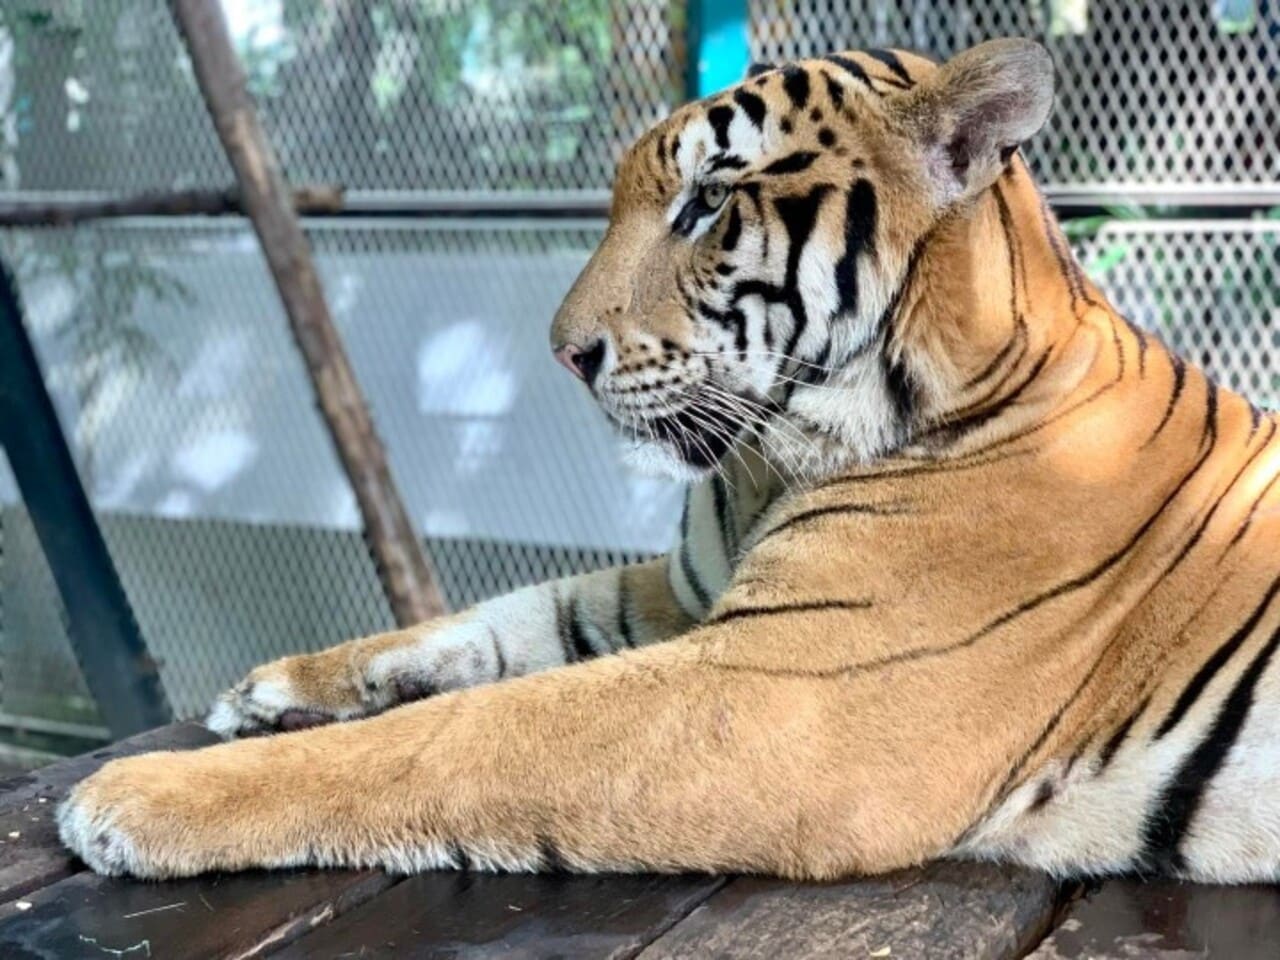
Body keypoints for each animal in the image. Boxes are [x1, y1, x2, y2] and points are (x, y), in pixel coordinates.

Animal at [59, 38, 1280, 885]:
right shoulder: (691, 598)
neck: (771, 459)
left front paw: (132, 796)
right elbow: (501, 620)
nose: (561, 353)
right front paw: (280, 689)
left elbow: (466, 731)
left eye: (707, 202)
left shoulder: (782, 694)